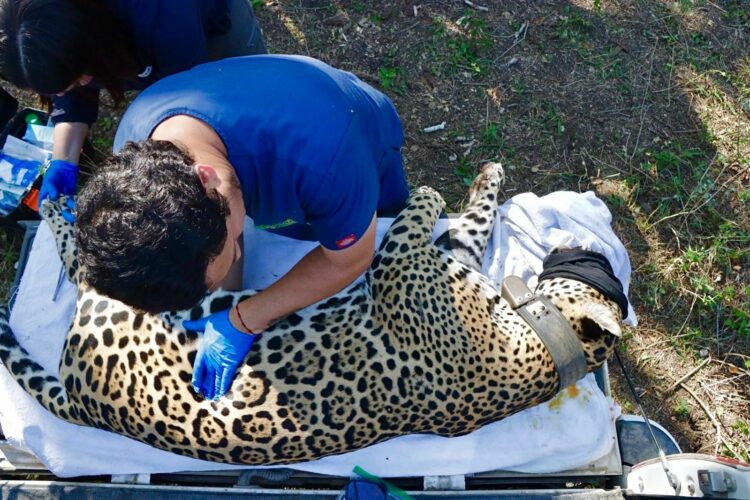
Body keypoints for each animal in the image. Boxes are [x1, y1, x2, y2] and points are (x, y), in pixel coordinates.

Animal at [0, 162, 623, 465]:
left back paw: (61, 206)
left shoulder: (398, 265)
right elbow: (476, 219)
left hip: (141, 301)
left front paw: (424, 191)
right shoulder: (448, 259)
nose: (581, 245)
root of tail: (86, 405)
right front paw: (484, 178)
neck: (543, 340)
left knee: (81, 266)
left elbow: (418, 214)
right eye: (594, 261)